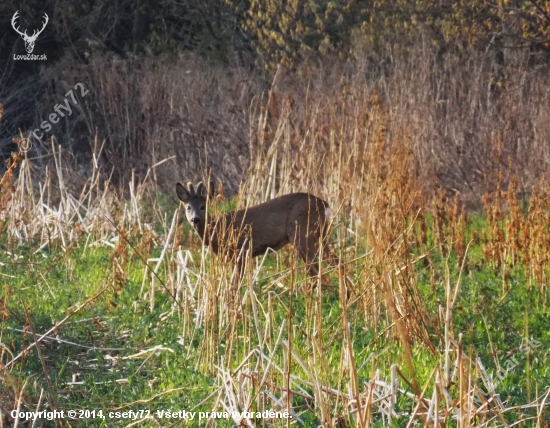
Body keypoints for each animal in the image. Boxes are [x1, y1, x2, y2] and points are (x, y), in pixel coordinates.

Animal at [178, 182, 340, 280]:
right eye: (188, 207)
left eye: (203, 206)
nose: (195, 219)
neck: (219, 229)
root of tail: (325, 205)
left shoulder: (241, 251)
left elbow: (235, 285)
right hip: (319, 235)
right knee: (333, 264)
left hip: (303, 235)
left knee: (319, 270)